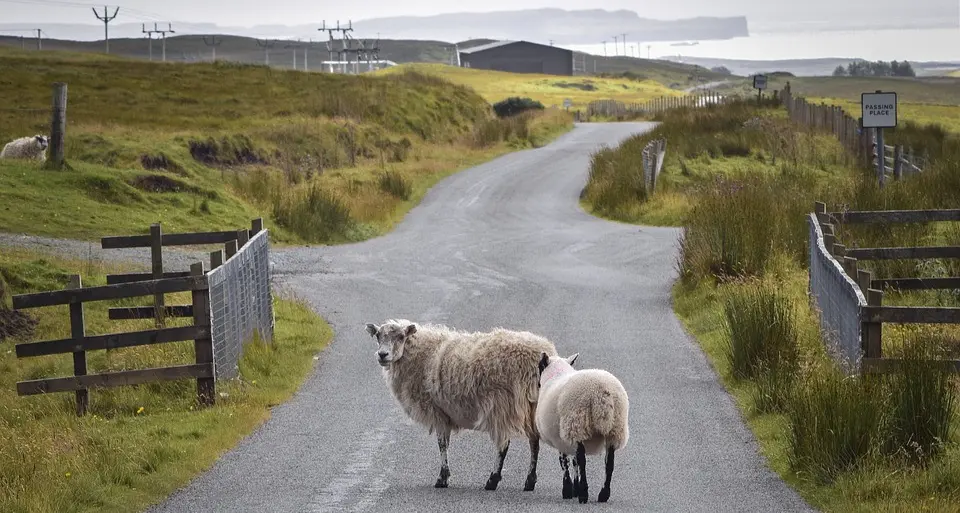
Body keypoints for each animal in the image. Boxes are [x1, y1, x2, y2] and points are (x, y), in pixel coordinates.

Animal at [364, 318, 560, 490]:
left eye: (401, 336)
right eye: (378, 336)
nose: (382, 355)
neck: (421, 353)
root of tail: (542, 352)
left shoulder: (438, 412)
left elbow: (442, 444)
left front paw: (442, 478)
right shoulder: (445, 413)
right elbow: (445, 443)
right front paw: (444, 476)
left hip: (501, 404)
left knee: (504, 445)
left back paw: (492, 480)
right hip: (532, 406)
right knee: (534, 442)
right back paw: (529, 481)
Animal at [532, 352, 632, 504]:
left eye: (539, 366)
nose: (537, 385)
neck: (557, 373)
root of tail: (602, 392)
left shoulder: (561, 436)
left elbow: (565, 462)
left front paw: (568, 490)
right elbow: (573, 462)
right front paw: (574, 488)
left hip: (577, 424)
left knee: (582, 460)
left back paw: (584, 494)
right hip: (615, 429)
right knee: (609, 463)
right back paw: (603, 494)